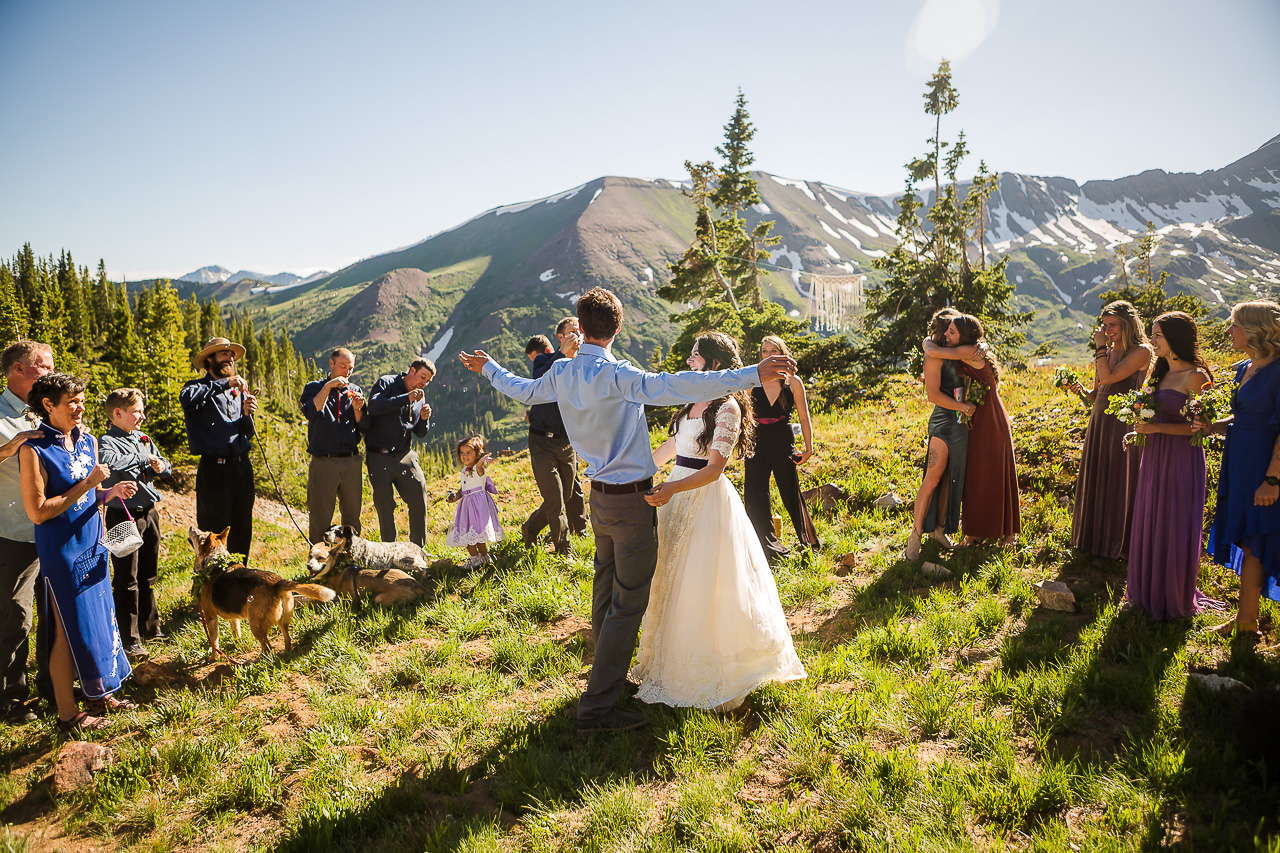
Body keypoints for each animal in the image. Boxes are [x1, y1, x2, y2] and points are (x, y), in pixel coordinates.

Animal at [186, 525, 335, 655]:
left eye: (199, 536)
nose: (191, 527)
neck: (216, 559)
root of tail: (277, 582)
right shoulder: (233, 617)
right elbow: (236, 632)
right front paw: (237, 644)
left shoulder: (210, 615)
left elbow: (214, 642)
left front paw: (213, 658)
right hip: (283, 621)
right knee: (287, 639)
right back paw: (285, 653)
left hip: (255, 624)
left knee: (267, 646)